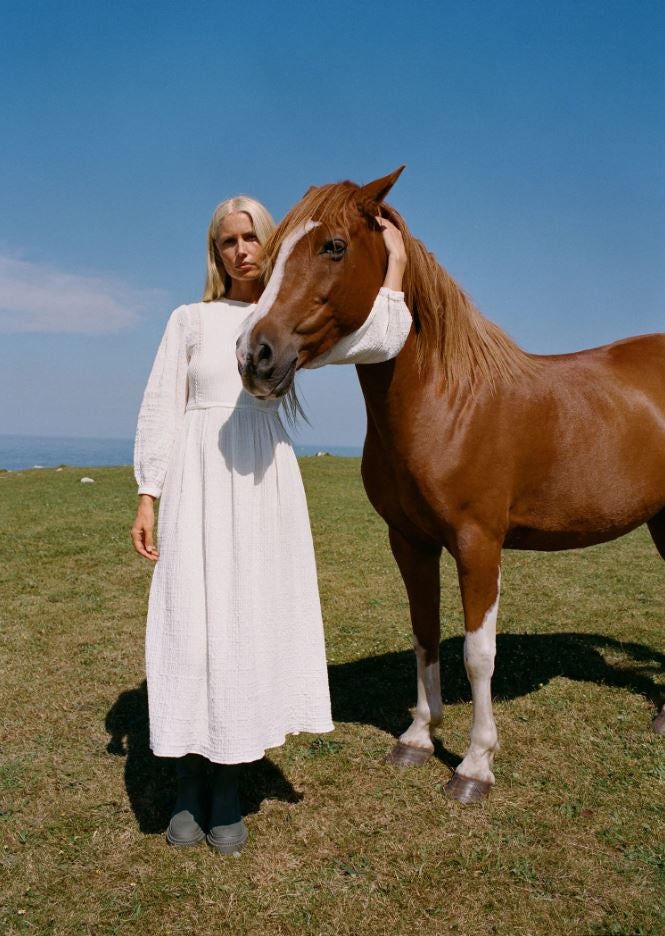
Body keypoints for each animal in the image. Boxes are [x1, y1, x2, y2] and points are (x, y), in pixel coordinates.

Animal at [239, 166, 664, 796]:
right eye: (272, 255)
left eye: (333, 247)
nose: (255, 355)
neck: (447, 402)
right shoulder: (410, 542)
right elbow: (424, 632)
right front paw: (417, 737)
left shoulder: (478, 544)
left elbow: (477, 654)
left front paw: (475, 764)